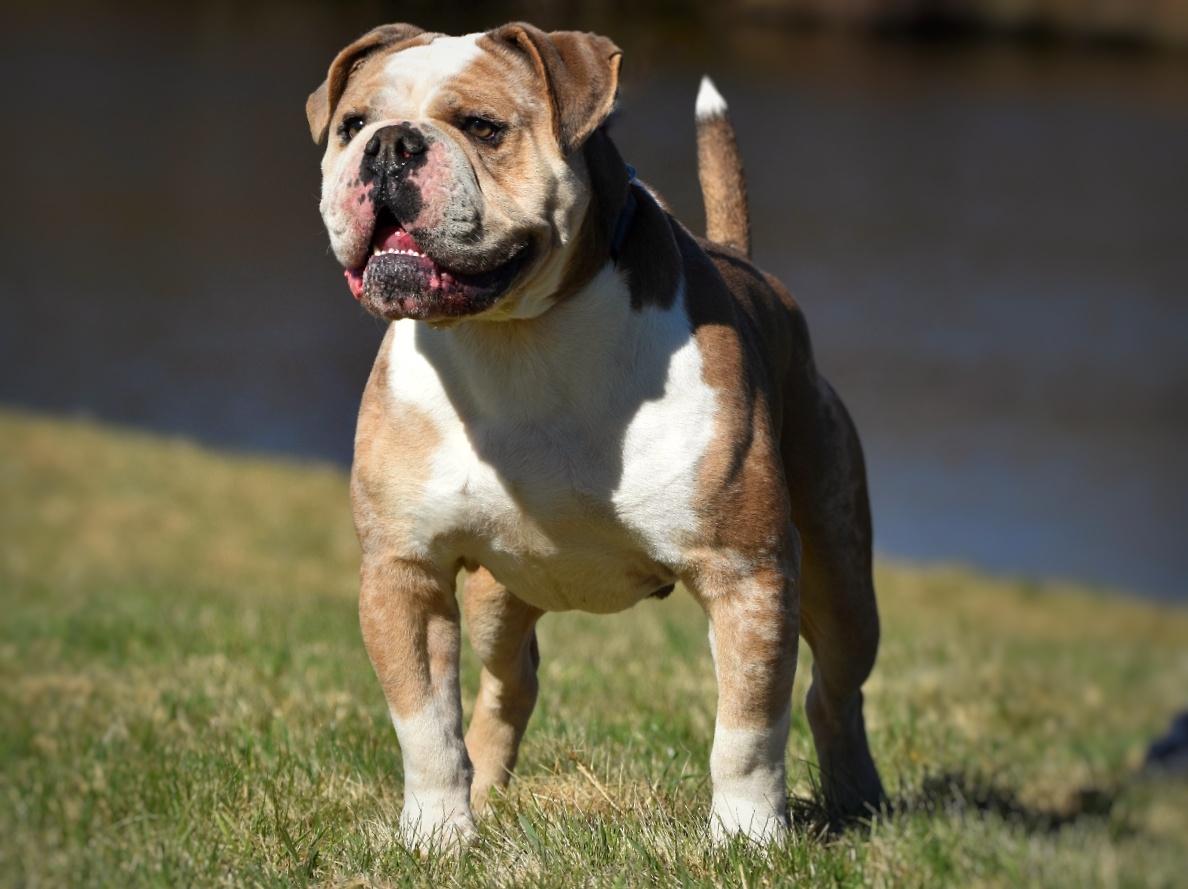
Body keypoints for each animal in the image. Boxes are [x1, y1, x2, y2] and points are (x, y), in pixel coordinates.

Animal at [306, 22, 883, 846]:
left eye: (483, 127)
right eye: (352, 125)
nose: (389, 147)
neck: (516, 335)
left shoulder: (746, 570)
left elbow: (746, 728)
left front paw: (746, 838)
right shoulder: (405, 569)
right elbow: (424, 723)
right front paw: (437, 833)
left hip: (840, 578)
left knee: (832, 687)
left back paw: (858, 797)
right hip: (495, 598)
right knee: (509, 683)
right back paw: (485, 793)